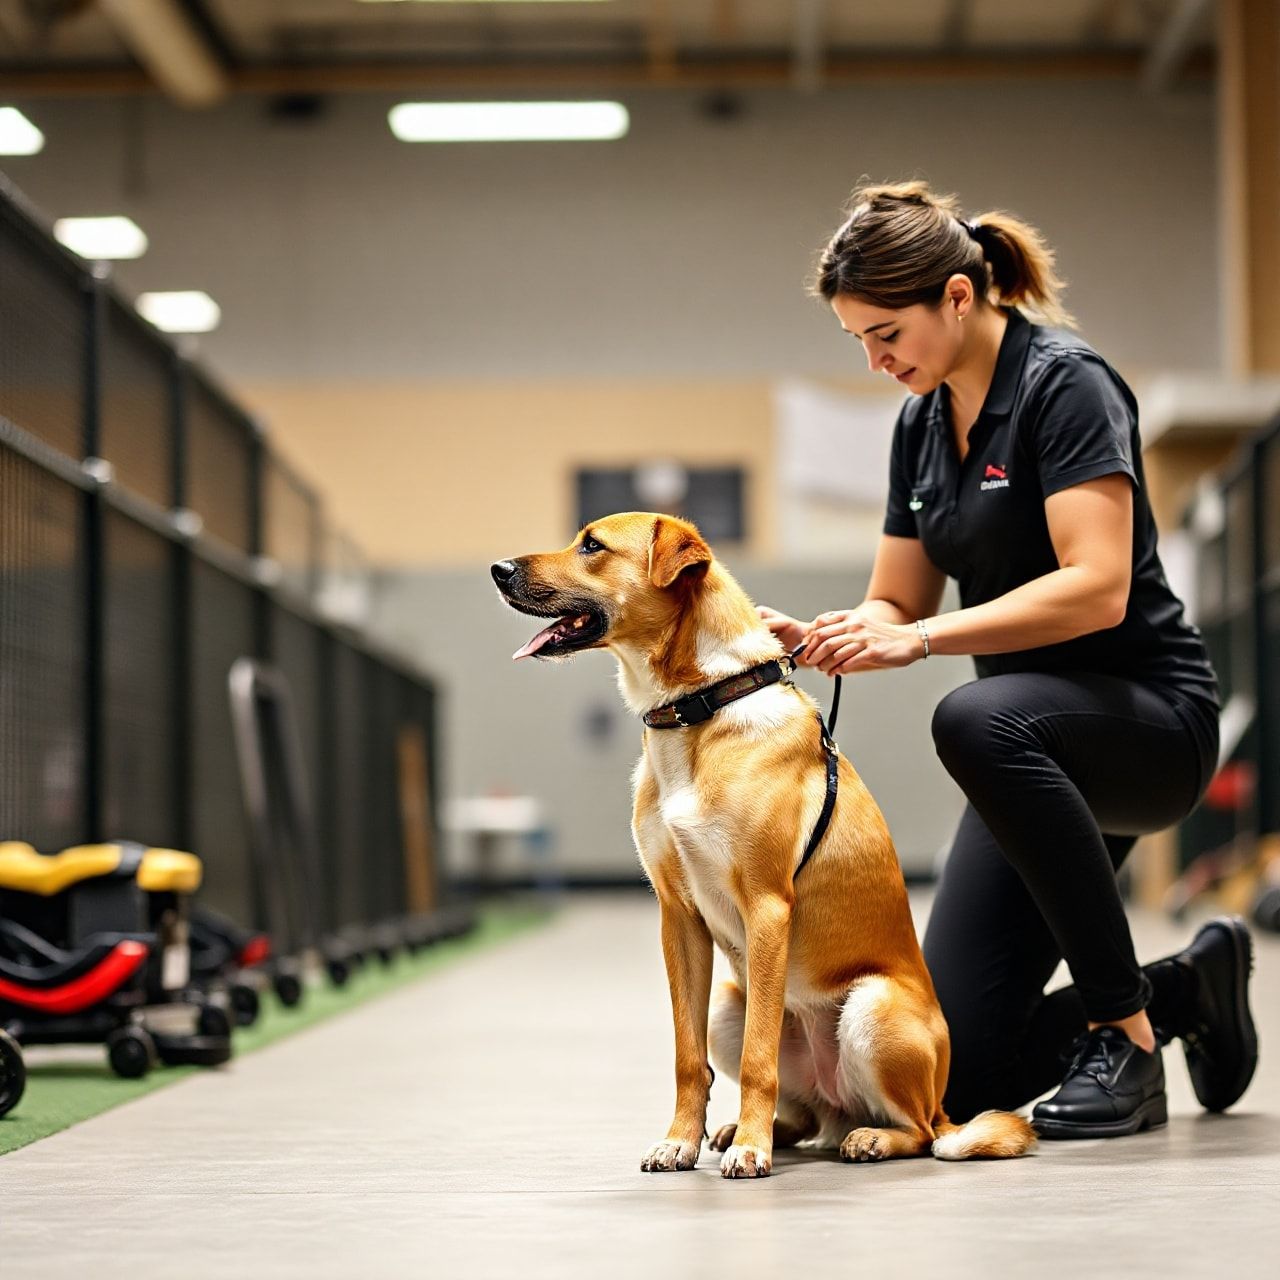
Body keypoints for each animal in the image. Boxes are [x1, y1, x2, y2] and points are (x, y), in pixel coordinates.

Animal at [486, 512, 1029, 1177]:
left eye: (592, 545)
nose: (498, 570)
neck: (697, 711)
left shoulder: (768, 907)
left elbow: (756, 1059)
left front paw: (750, 1149)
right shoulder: (678, 916)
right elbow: (687, 1058)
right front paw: (681, 1141)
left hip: (872, 1010)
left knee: (923, 1132)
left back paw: (861, 1140)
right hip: (729, 1001)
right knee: (808, 1117)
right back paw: (750, 1131)